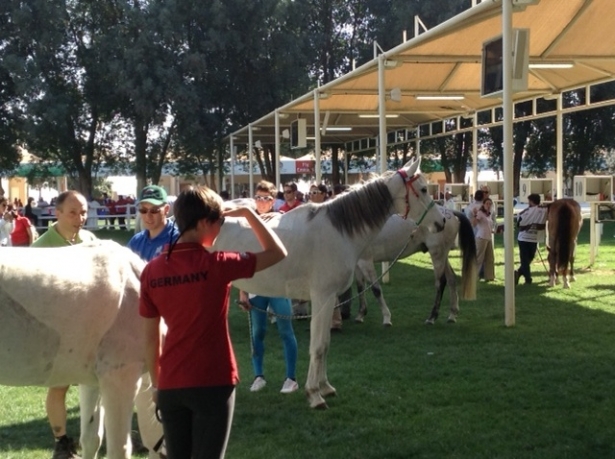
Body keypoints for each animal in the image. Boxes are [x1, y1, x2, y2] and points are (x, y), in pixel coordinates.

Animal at [214, 155, 446, 410]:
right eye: (423, 189)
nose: (442, 221)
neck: (338, 231)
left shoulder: (330, 298)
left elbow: (325, 344)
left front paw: (325, 387)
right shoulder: (322, 298)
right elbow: (317, 346)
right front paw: (314, 395)